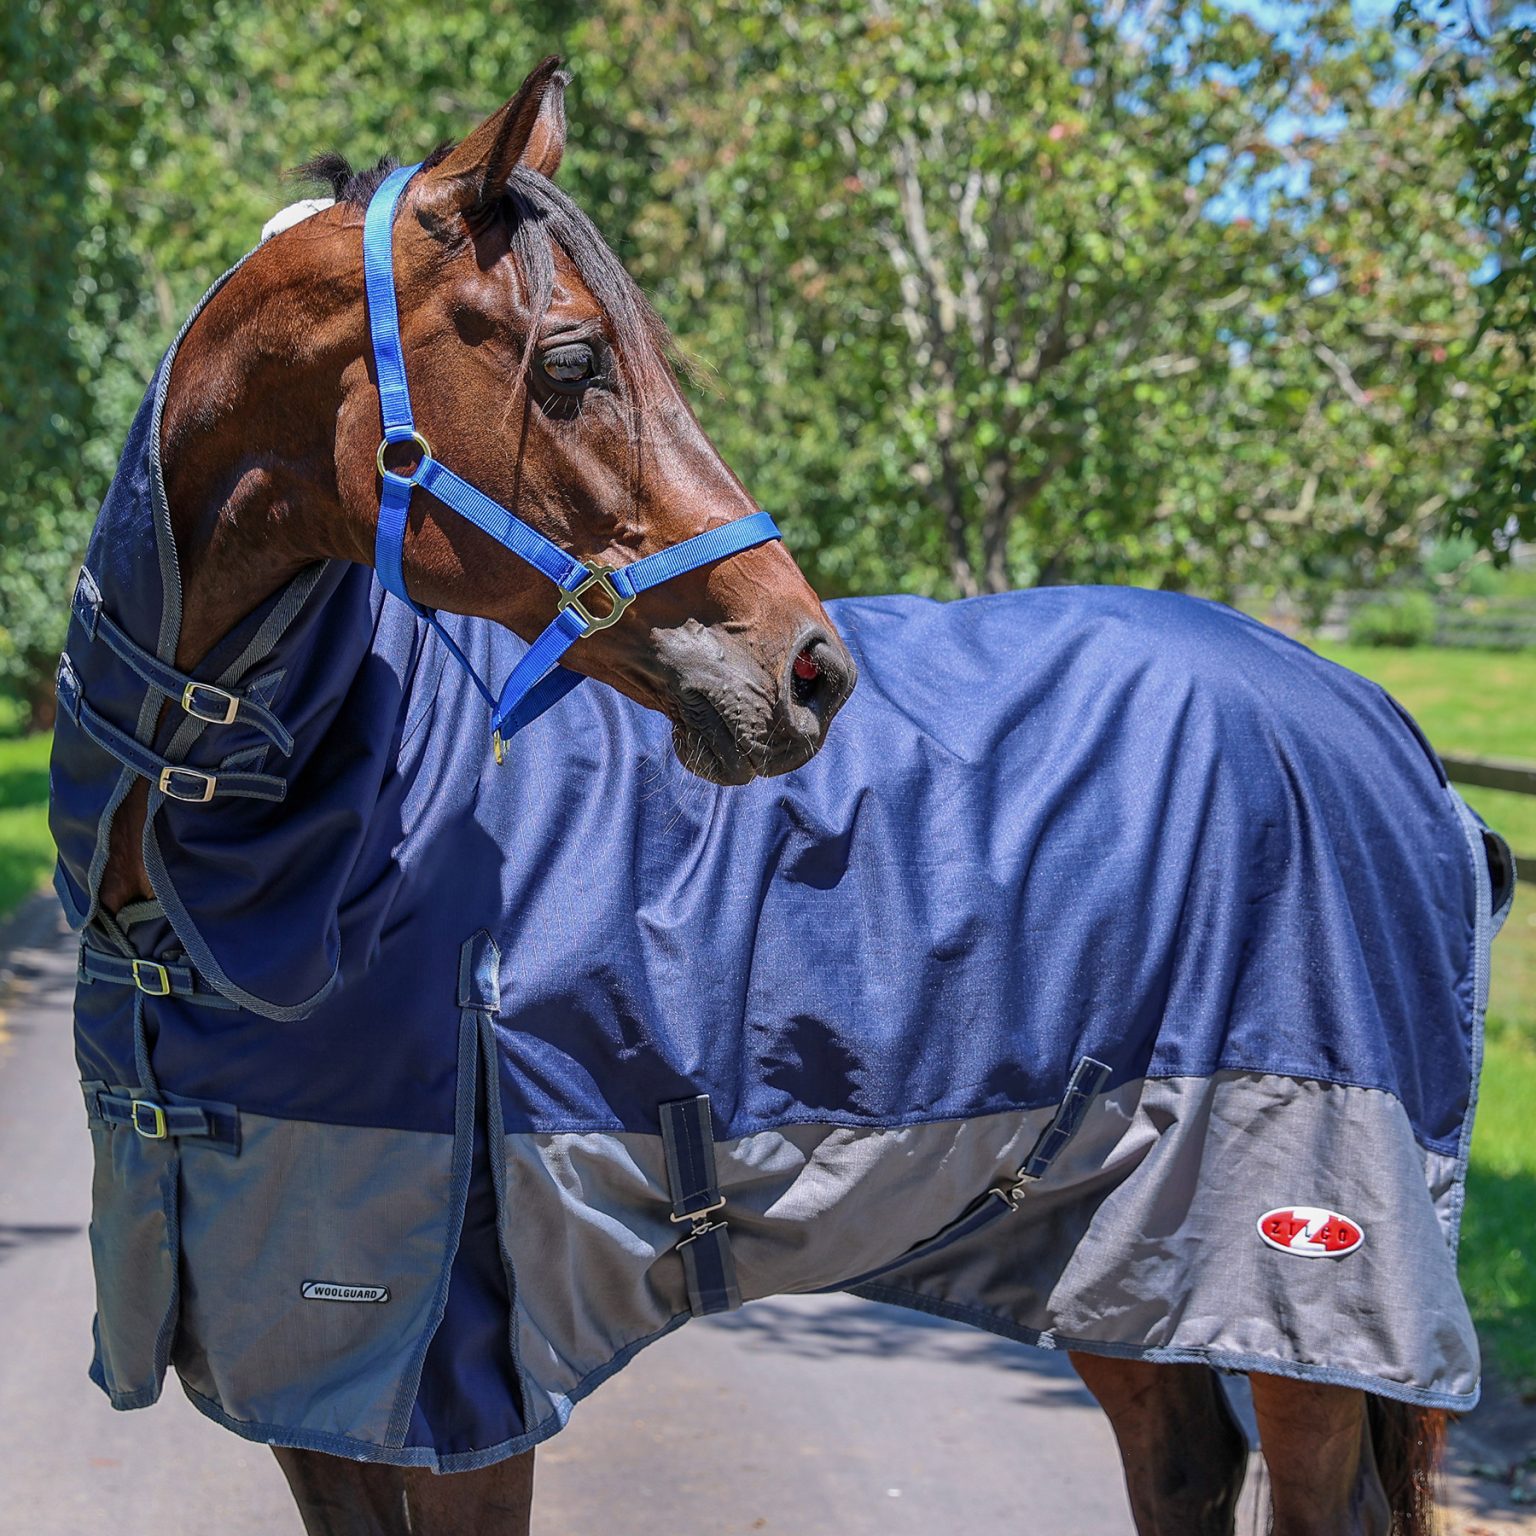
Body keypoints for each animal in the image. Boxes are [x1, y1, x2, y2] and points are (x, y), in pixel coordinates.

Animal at [49, 59, 1510, 1536]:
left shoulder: (457, 1384)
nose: (813, 669)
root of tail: (1390, 733)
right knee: (1184, 1459)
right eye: (572, 362)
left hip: (1294, 1275)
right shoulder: (302, 1389)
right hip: (1111, 1243)